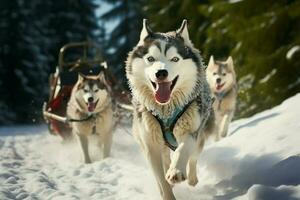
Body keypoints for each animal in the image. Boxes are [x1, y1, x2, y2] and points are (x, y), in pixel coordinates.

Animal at [125, 19, 214, 200]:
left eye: (174, 59)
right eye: (150, 58)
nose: (161, 73)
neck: (165, 110)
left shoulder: (190, 131)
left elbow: (183, 149)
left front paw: (176, 171)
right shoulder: (150, 146)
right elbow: (161, 180)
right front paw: (167, 190)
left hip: (199, 135)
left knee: (193, 157)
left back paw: (191, 177)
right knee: (166, 159)